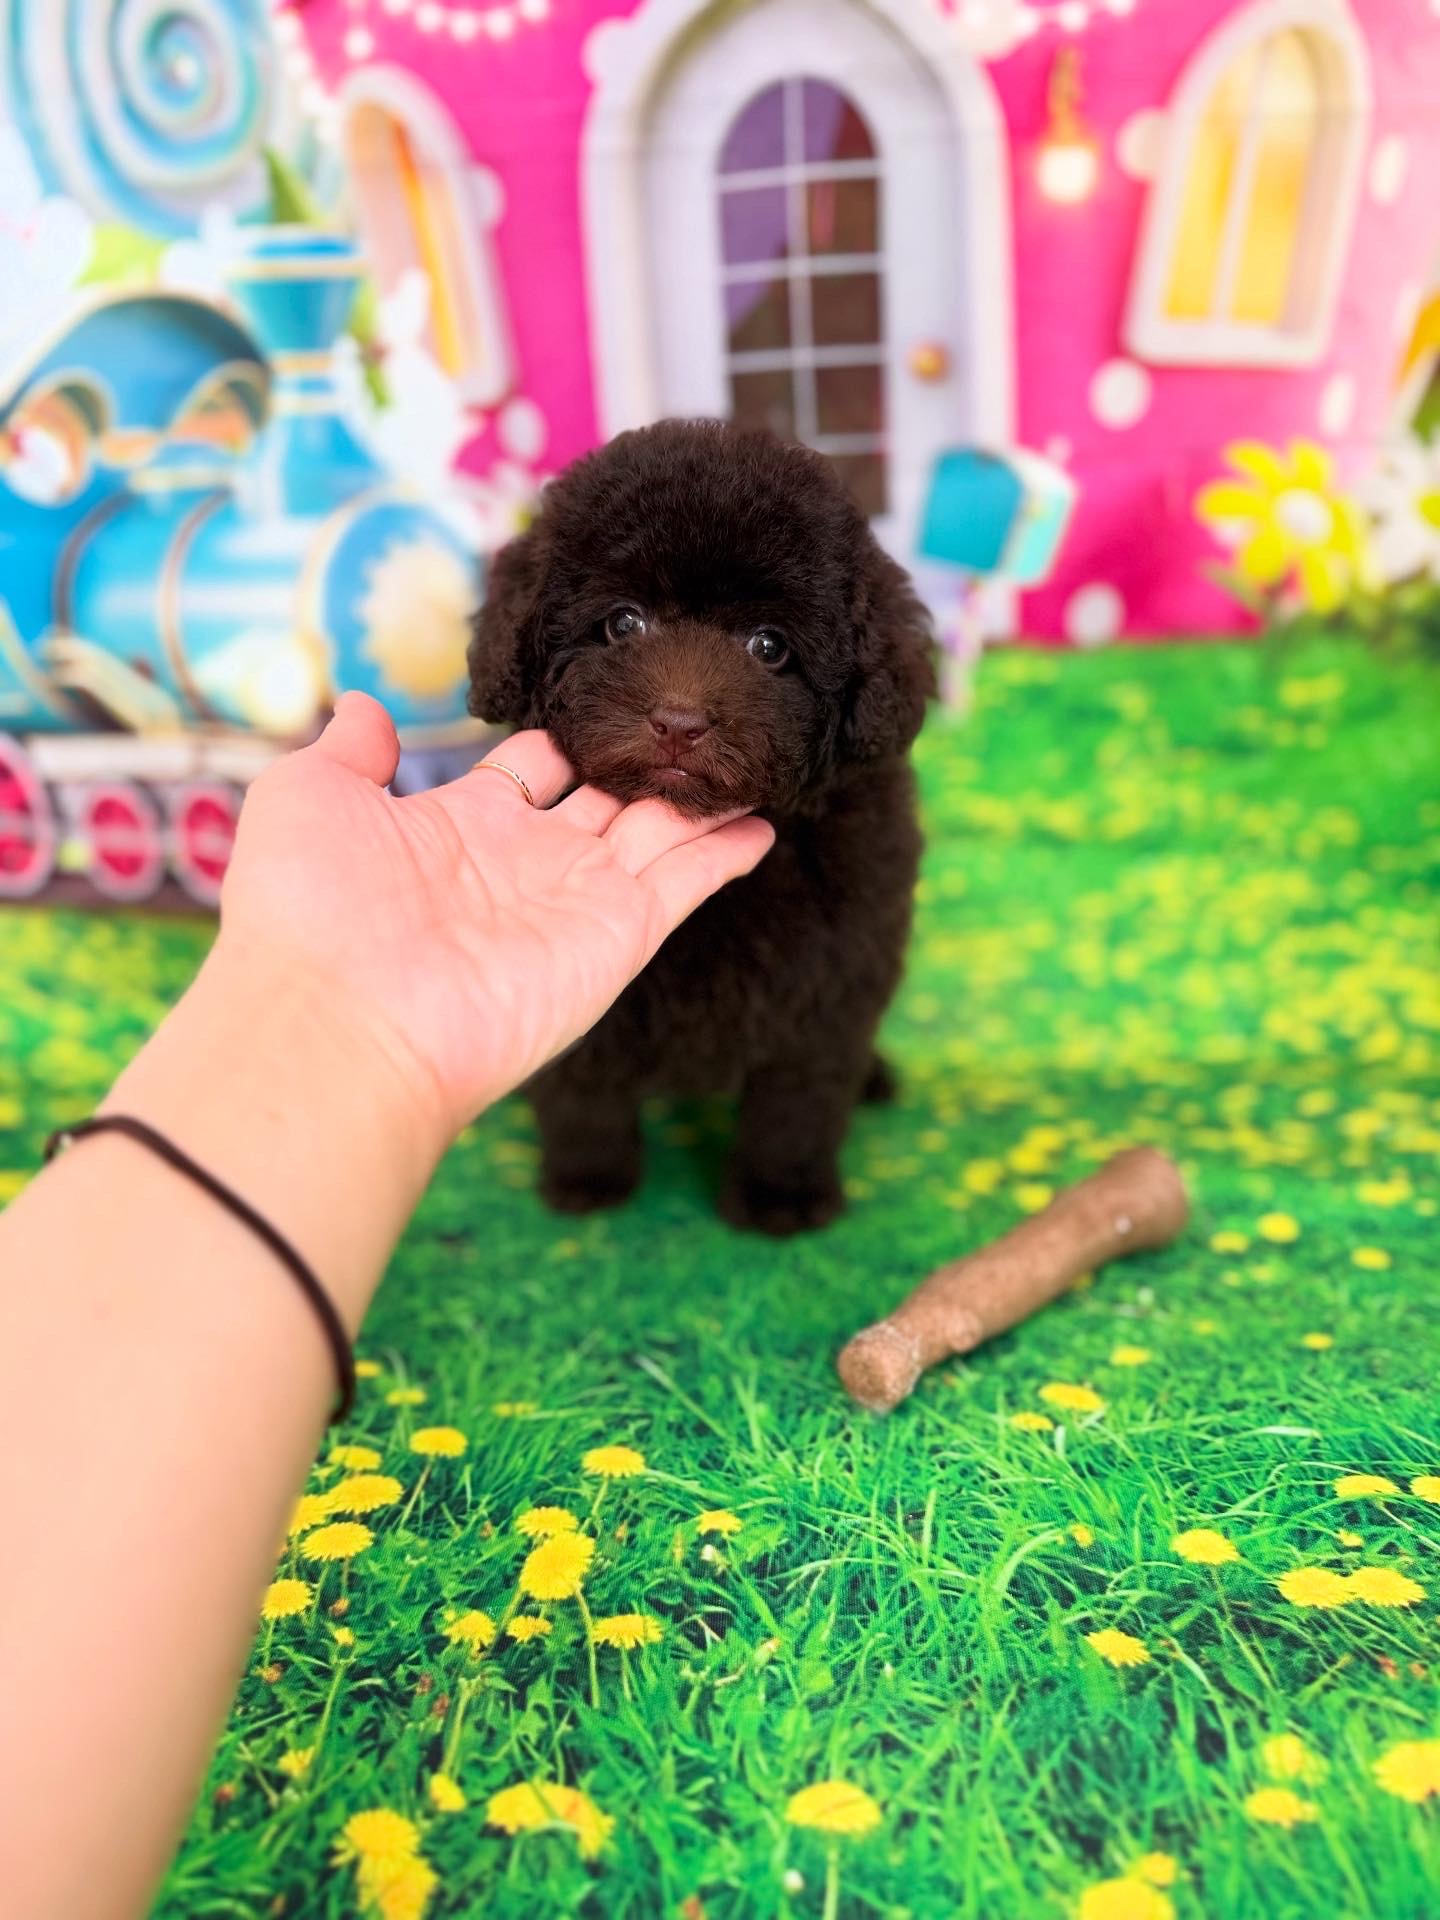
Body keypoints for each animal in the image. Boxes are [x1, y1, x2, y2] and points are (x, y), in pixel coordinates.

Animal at [467, 418, 934, 1235]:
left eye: (770, 646)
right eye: (622, 623)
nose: (679, 723)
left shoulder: (831, 980)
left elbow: (797, 1101)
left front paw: (781, 1198)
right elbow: (582, 1088)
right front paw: (589, 1180)